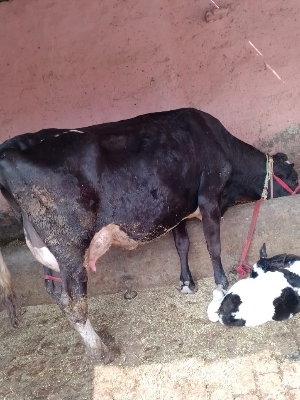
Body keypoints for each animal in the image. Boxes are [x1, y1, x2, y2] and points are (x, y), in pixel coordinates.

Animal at [0, 108, 298, 360]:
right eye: (293, 178)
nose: (297, 191)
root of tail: (11, 145)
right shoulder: (209, 195)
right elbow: (213, 245)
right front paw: (221, 283)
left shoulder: (177, 206)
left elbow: (182, 244)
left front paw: (186, 282)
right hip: (69, 247)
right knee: (73, 301)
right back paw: (100, 351)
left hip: (44, 248)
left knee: (54, 291)